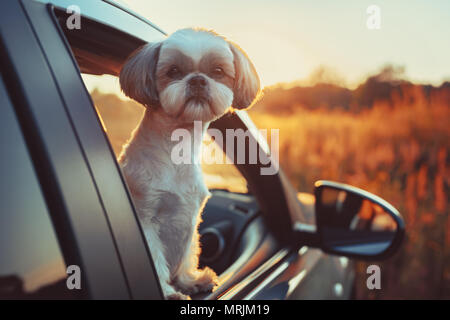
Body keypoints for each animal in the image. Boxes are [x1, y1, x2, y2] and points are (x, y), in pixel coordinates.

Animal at [118, 28, 262, 300]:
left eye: (218, 71)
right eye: (173, 71)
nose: (197, 80)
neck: (177, 149)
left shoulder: (189, 218)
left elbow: (186, 255)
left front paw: (188, 281)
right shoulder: (145, 219)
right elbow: (155, 259)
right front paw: (167, 291)